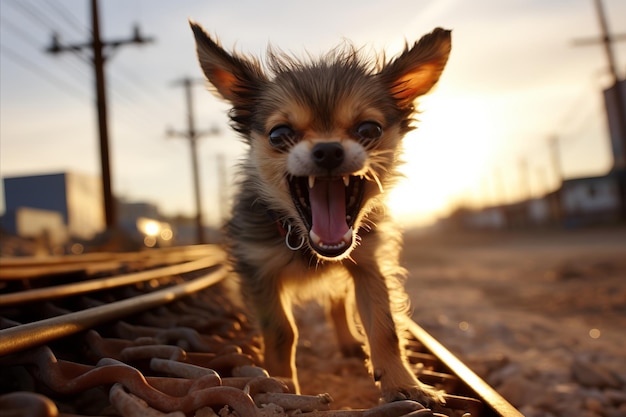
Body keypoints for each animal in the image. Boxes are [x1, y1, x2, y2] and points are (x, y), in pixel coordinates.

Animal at [190, 21, 448, 404]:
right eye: (279, 134)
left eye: (369, 129)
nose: (328, 150)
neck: (300, 237)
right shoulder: (259, 271)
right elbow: (281, 331)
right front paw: (282, 387)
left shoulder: (370, 265)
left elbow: (384, 326)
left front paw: (405, 384)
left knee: (338, 302)